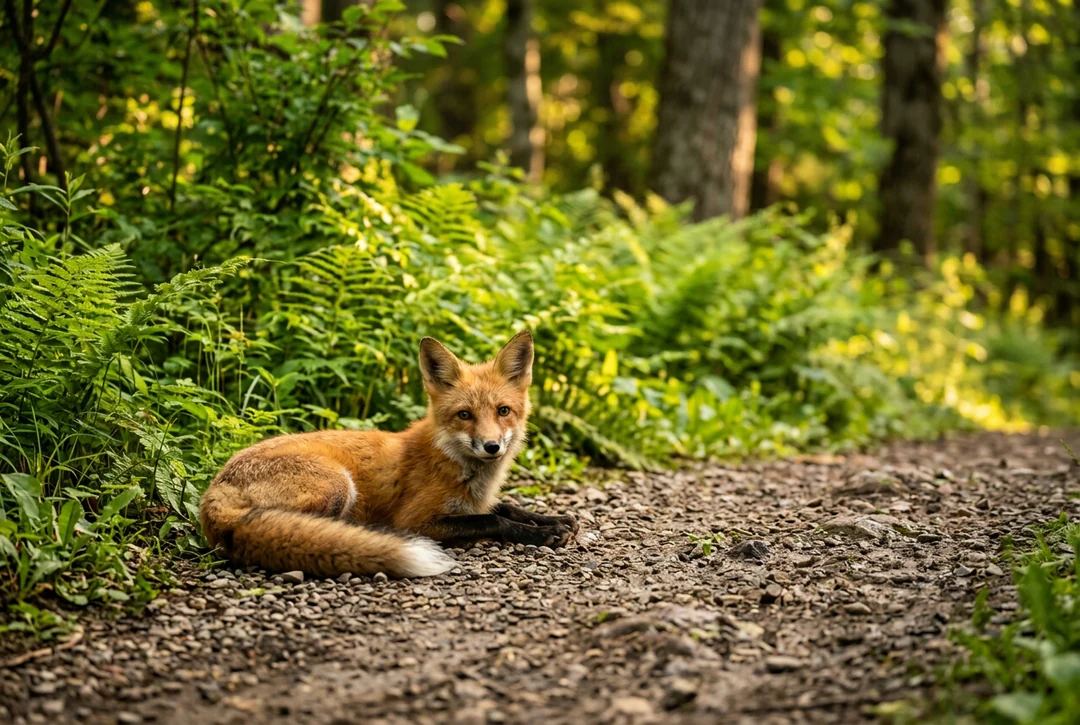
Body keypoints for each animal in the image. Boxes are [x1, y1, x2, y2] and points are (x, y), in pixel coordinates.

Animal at [198, 330, 577, 579]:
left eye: (503, 411)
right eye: (464, 415)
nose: (492, 447)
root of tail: (213, 493)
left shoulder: (472, 502)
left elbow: (507, 508)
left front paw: (552, 518)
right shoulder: (418, 518)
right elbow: (491, 520)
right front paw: (539, 533)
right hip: (338, 485)